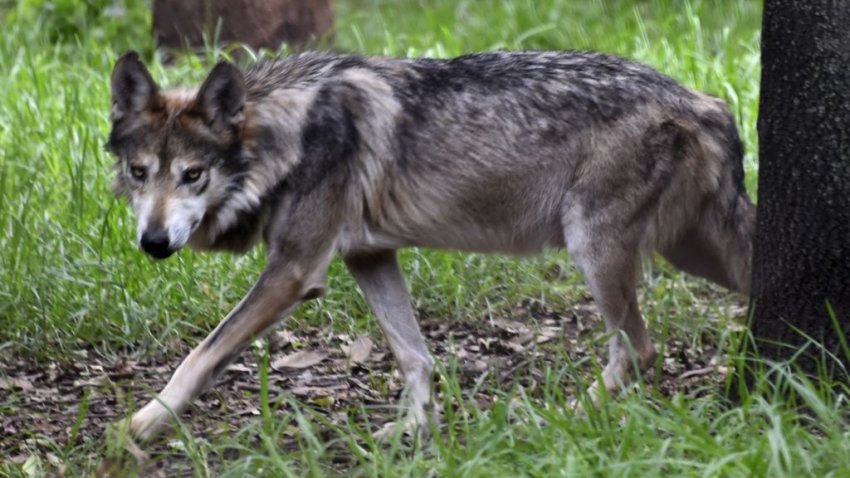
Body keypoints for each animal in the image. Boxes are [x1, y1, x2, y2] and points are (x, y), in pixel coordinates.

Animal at [107, 50, 756, 442]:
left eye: (192, 176)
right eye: (140, 174)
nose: (154, 243)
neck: (287, 135)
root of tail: (708, 104)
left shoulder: (294, 271)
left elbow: (202, 354)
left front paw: (142, 424)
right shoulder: (368, 256)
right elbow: (415, 356)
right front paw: (412, 434)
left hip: (594, 249)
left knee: (638, 352)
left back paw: (560, 418)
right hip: (689, 252)